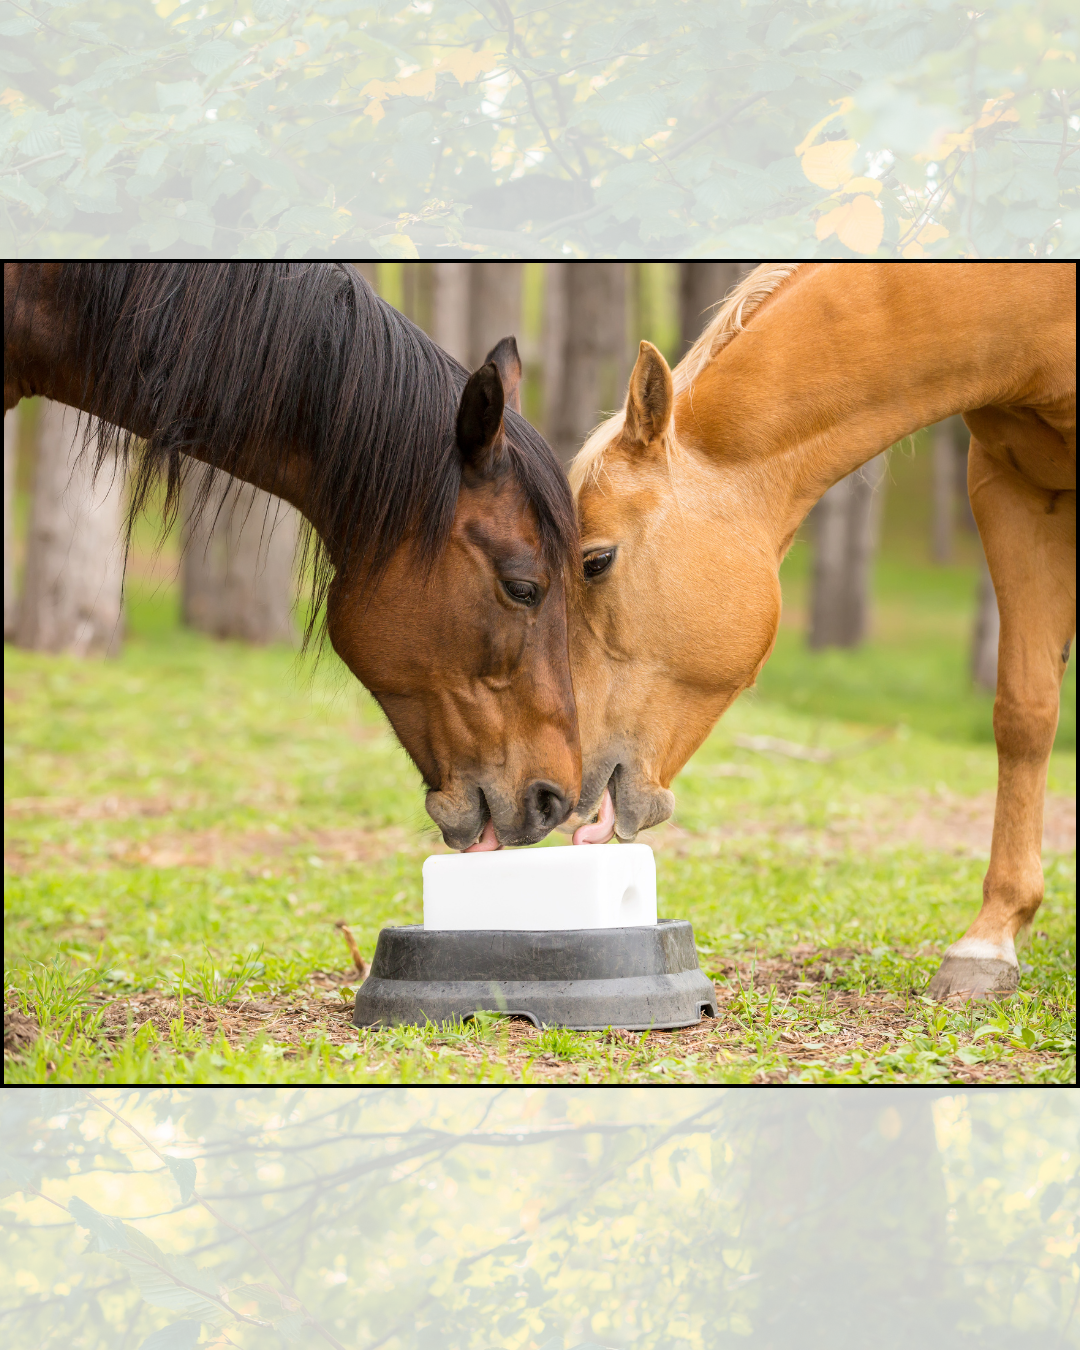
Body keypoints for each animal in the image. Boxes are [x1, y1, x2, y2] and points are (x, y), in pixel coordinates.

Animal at [567, 262, 1075, 1000]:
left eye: (595, 560)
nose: (564, 777)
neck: (1033, 304)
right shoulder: (1011, 488)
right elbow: (1025, 713)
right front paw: (991, 940)